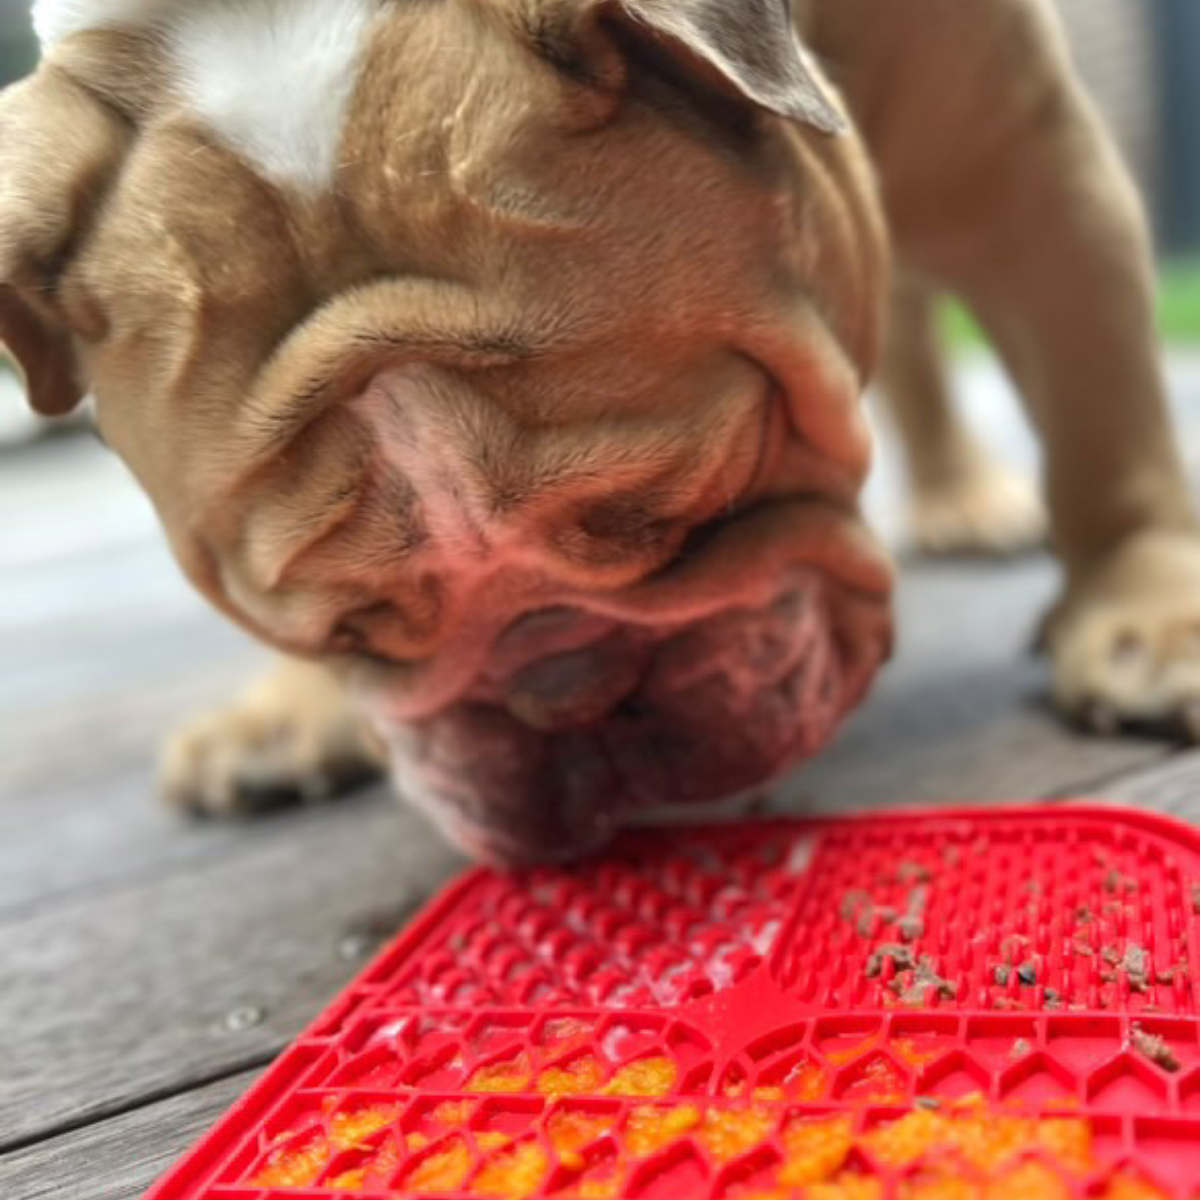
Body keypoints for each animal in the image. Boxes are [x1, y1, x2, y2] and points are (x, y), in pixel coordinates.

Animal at [2, 0, 1200, 864]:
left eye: (699, 502)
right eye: (353, 629)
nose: (562, 690)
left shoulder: (1024, 160)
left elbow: (1104, 418)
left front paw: (1148, 621)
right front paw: (291, 705)